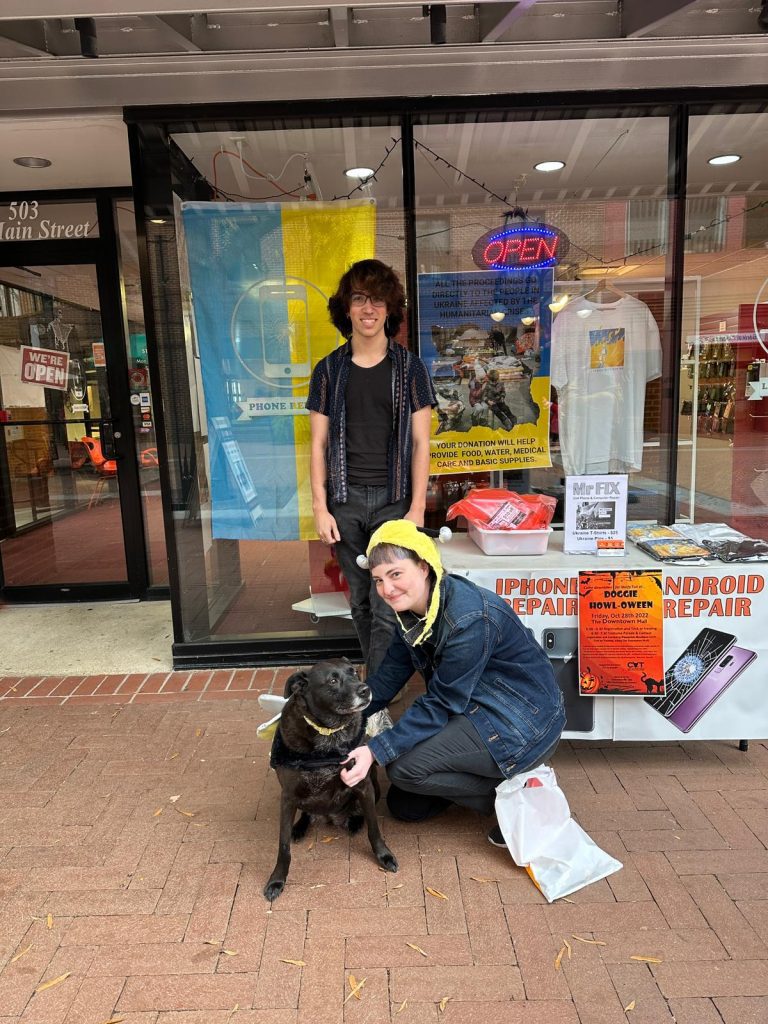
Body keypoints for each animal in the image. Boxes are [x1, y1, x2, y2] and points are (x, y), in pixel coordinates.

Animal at [263, 658, 398, 902]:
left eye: (354, 672)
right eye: (333, 681)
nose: (365, 690)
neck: (329, 733)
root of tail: (329, 816)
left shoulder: (363, 784)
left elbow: (374, 829)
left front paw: (384, 855)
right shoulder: (287, 797)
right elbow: (283, 846)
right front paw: (277, 880)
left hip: (373, 788)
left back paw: (354, 821)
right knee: (306, 813)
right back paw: (299, 827)